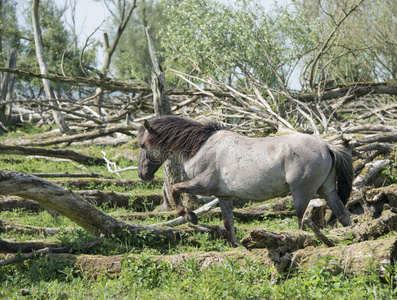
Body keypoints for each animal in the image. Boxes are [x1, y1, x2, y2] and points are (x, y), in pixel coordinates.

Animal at [137, 115, 352, 246]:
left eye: (142, 145)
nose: (142, 175)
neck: (201, 147)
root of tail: (327, 146)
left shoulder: (203, 185)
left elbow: (175, 189)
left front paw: (189, 216)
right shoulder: (223, 197)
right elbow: (228, 224)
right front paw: (235, 247)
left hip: (301, 194)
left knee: (301, 222)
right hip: (327, 191)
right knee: (343, 215)